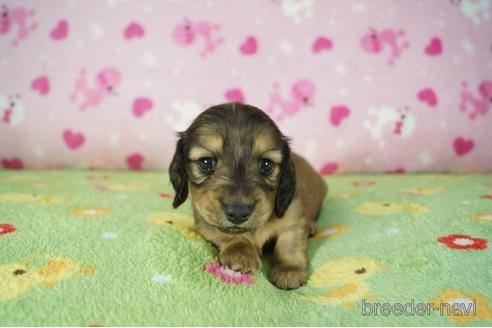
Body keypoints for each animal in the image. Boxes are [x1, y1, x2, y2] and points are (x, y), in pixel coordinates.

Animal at [169, 102, 326, 290]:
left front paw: (289, 269)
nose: (238, 213)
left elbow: (289, 243)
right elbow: (226, 234)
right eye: (206, 162)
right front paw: (241, 252)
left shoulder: (293, 215)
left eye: (266, 164)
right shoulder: (204, 220)